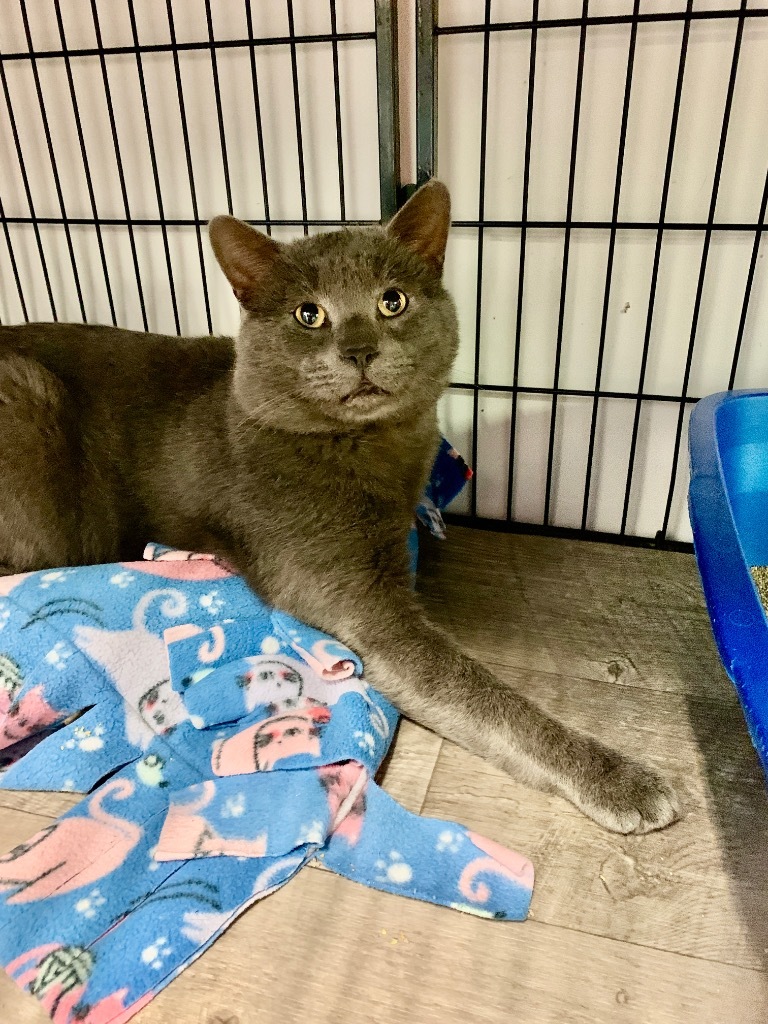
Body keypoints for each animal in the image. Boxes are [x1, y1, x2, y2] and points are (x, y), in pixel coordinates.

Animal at [0, 182, 675, 831]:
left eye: (392, 301)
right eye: (309, 314)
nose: (359, 349)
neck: (374, 448)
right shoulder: (352, 594)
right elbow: (478, 694)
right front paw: (626, 783)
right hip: (32, 403)